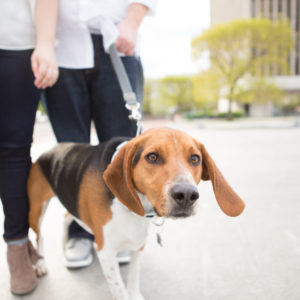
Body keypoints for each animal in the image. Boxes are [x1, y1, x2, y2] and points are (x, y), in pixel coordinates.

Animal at [27, 127, 245, 300]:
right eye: (152, 157)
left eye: (195, 158)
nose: (186, 195)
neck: (136, 206)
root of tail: (50, 149)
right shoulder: (106, 251)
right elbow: (120, 289)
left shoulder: (138, 244)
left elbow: (133, 277)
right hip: (35, 211)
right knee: (40, 236)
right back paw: (40, 264)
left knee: (65, 218)